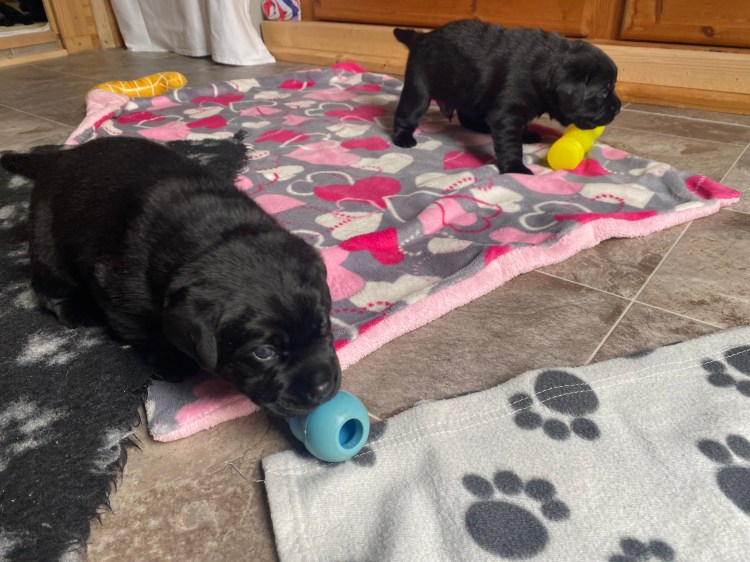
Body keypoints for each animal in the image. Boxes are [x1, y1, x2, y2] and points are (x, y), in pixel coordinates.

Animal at [0, 137, 341, 417]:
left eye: (323, 325)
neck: (215, 237)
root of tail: (61, 156)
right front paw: (173, 361)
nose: (323, 389)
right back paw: (74, 308)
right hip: (47, 240)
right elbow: (147, 331)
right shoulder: (118, 289)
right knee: (48, 286)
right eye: (264, 353)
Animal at [392, 19, 621, 174]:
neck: (544, 69)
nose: (618, 107)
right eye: (603, 92)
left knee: (467, 115)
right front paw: (515, 168)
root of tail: (421, 37)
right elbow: (511, 143)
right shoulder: (507, 113)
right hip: (419, 88)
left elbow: (521, 126)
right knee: (407, 113)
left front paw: (526, 135)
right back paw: (403, 138)